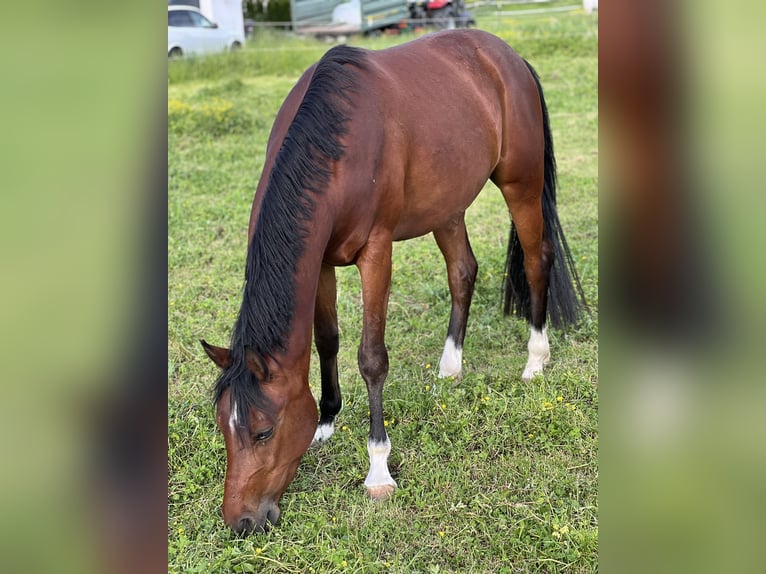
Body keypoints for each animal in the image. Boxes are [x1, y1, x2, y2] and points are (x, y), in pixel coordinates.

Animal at [201, 30, 584, 536]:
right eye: (223, 427)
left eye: (263, 431)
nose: (241, 521)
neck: (336, 145)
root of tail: (507, 55)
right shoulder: (320, 262)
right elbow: (327, 340)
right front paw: (325, 421)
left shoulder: (376, 253)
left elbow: (371, 359)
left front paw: (378, 469)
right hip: (447, 204)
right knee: (463, 271)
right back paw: (450, 365)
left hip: (520, 183)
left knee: (537, 261)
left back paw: (536, 359)